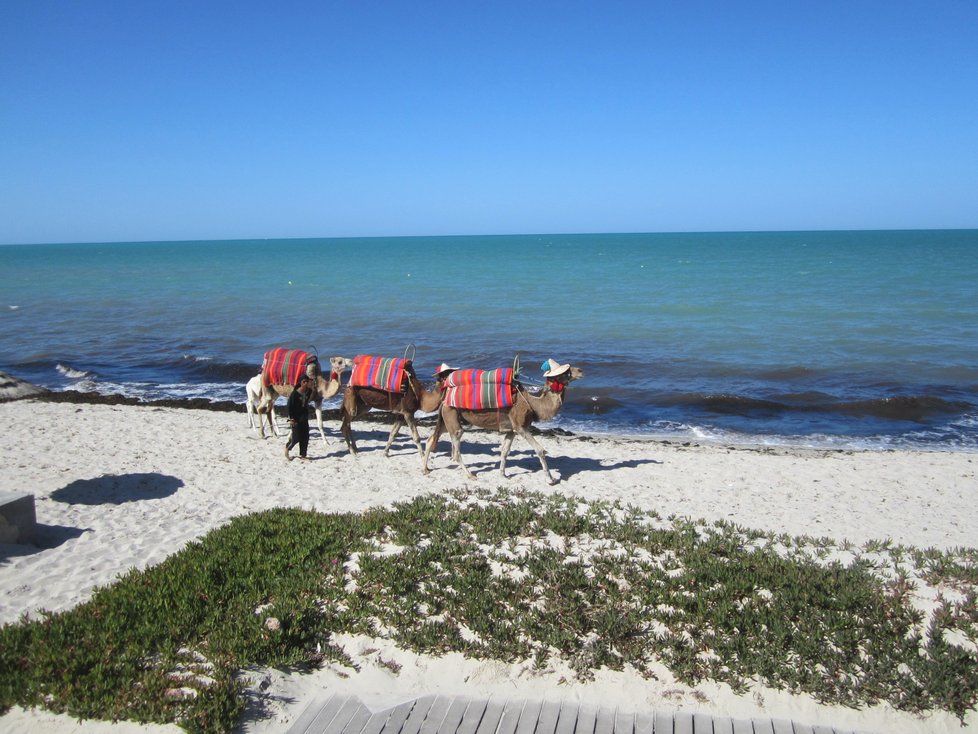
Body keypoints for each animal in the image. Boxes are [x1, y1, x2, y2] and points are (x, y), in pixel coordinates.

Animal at [420, 360, 580, 486]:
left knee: (431, 439)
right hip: (451, 416)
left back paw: (425, 469)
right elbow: (540, 450)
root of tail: (444, 398)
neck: (533, 404)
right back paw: (470, 475)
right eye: (566, 372)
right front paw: (551, 479)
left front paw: (503, 474)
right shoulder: (521, 427)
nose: (580, 370)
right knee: (457, 448)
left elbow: (504, 451)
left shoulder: (512, 430)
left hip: (447, 418)